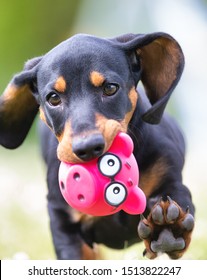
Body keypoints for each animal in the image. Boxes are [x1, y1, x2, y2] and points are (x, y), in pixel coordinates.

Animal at [0, 32, 195, 258]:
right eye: (53, 98)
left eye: (110, 88)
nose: (87, 148)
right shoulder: (63, 221)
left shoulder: (172, 181)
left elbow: (178, 200)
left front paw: (168, 229)